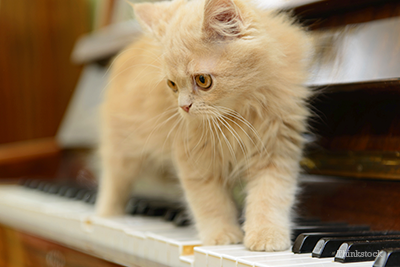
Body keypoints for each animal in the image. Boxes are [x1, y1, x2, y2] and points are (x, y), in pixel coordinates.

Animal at [94, 0, 312, 252]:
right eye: (172, 85)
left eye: (202, 80)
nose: (183, 107)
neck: (236, 116)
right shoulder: (195, 161)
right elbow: (210, 202)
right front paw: (222, 235)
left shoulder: (276, 151)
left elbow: (269, 197)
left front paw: (266, 236)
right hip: (121, 149)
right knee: (113, 181)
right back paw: (105, 216)